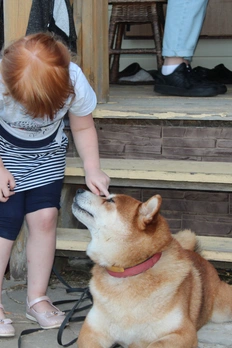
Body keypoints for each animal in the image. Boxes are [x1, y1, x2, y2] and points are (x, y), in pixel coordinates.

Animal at [71, 189, 232, 346]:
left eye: (110, 200)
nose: (79, 190)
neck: (129, 272)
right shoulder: (91, 332)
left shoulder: (184, 332)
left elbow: (155, 344)